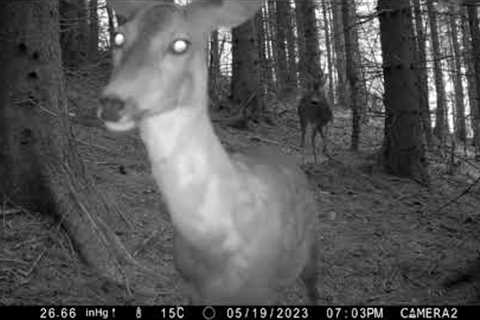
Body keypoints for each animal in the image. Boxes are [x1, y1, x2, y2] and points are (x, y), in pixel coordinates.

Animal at [98, 0, 318, 304]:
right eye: (118, 36)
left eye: (181, 44)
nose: (112, 103)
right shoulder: (191, 287)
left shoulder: (261, 290)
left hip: (309, 247)